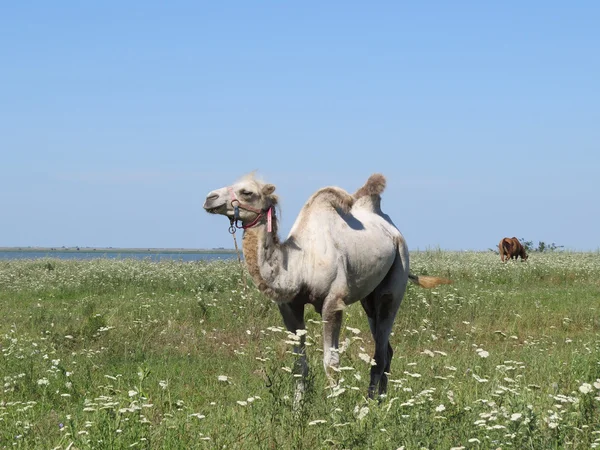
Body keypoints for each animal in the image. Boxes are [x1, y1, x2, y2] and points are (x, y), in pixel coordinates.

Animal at [204, 172, 448, 398]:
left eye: (247, 192)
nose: (209, 198)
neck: (299, 265)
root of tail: (395, 231)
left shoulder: (333, 302)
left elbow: (331, 362)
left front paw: (334, 409)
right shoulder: (290, 307)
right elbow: (298, 365)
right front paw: (298, 408)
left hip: (398, 273)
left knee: (380, 349)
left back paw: (370, 404)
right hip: (369, 299)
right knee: (386, 348)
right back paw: (381, 399)